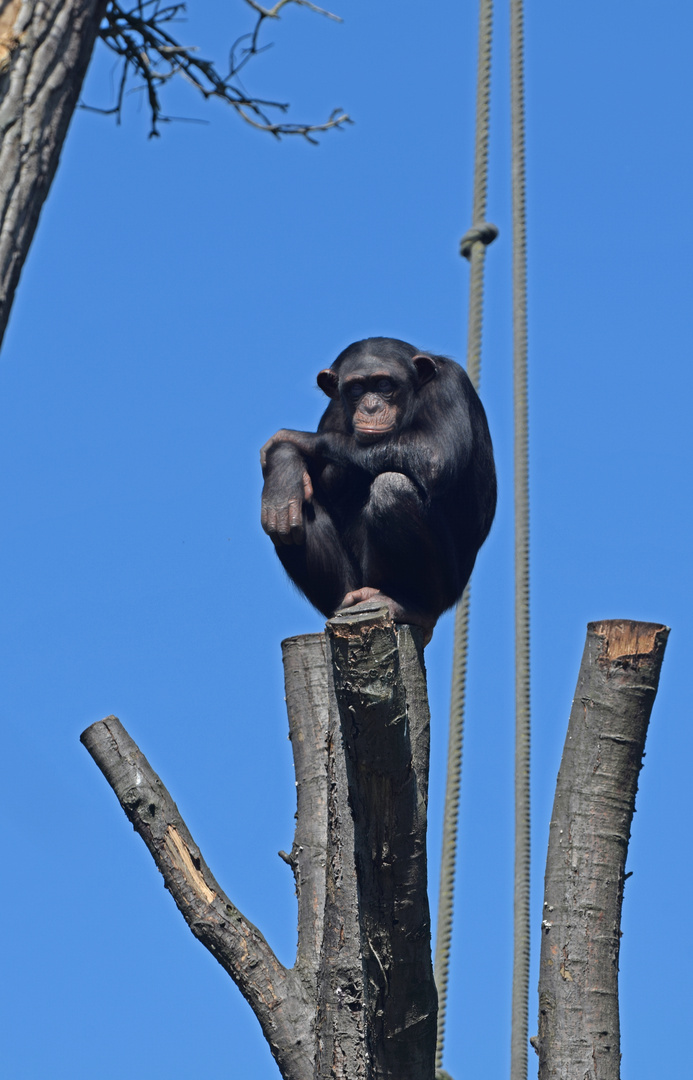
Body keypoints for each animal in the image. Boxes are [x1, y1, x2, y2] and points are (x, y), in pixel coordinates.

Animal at [257, 336, 492, 639]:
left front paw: (296, 442)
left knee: (392, 489)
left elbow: (435, 455)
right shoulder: (334, 408)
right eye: (356, 388)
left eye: (384, 385)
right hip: (358, 584)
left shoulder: (451, 385)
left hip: (443, 593)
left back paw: (408, 604)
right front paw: (283, 469)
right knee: (292, 512)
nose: (370, 407)